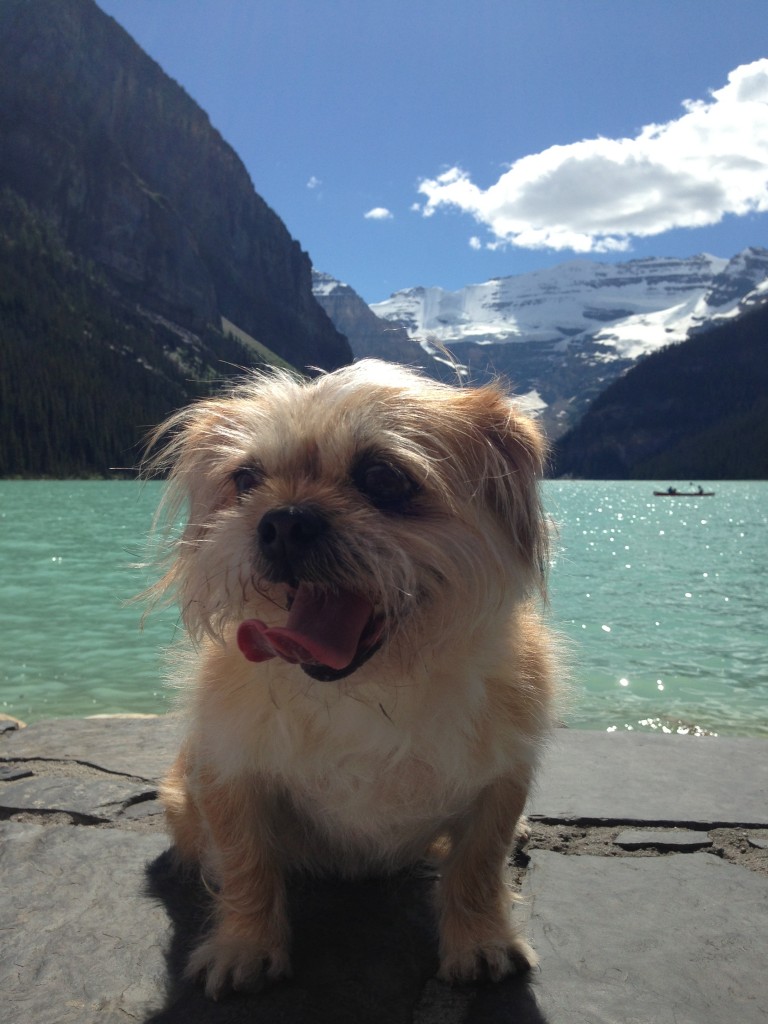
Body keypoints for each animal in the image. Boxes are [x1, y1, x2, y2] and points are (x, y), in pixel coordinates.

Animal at [147, 356, 561, 995]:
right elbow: (245, 865)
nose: (284, 521)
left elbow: (477, 864)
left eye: (383, 478)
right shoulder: (228, 773)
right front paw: (245, 946)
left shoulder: (501, 778)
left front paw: (479, 940)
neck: (364, 693)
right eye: (247, 479)